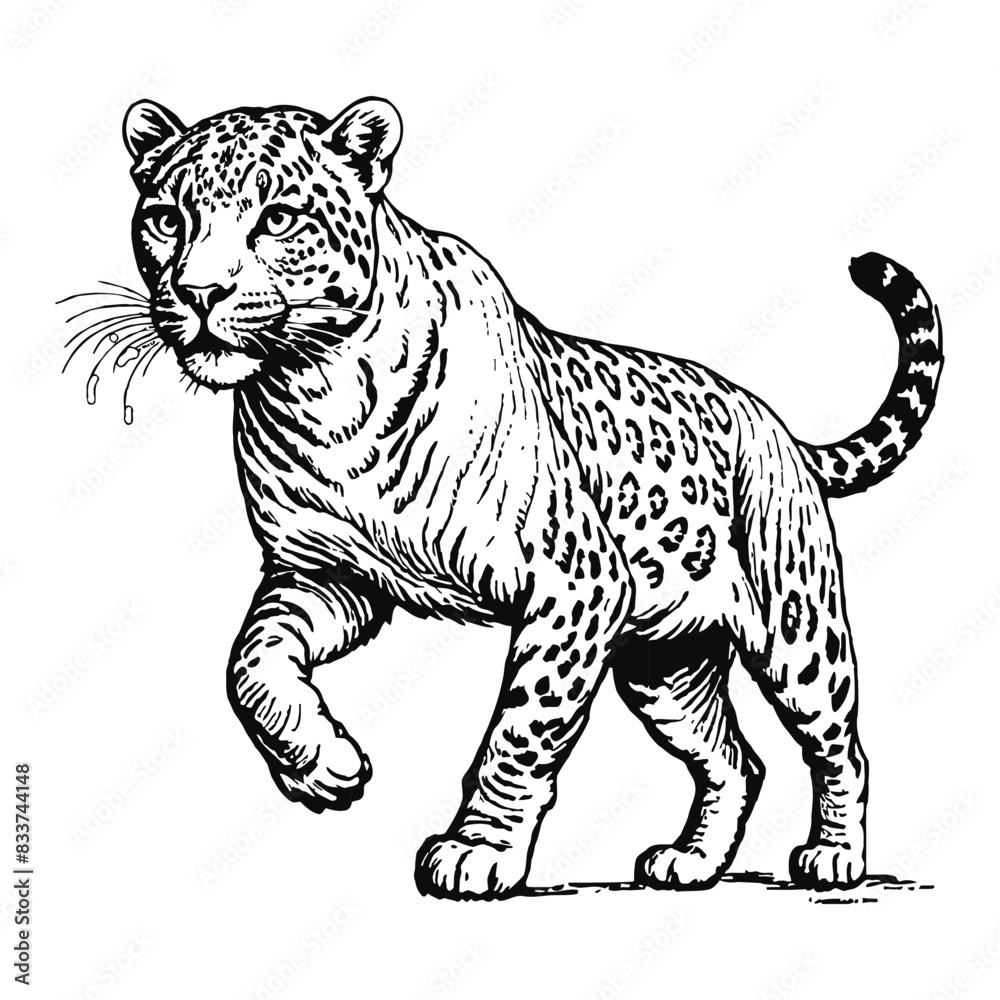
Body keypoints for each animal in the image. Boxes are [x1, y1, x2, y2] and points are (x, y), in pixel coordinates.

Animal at [68, 97, 943, 899]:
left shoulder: (577, 586)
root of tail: (779, 430)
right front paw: (322, 766)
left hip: (797, 628)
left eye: (277, 218)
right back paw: (690, 861)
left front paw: (476, 850)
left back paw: (833, 856)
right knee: (734, 759)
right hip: (664, 664)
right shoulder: (327, 576)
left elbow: (521, 730)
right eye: (165, 219)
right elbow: (248, 667)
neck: (319, 394)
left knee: (837, 744)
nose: (198, 292)